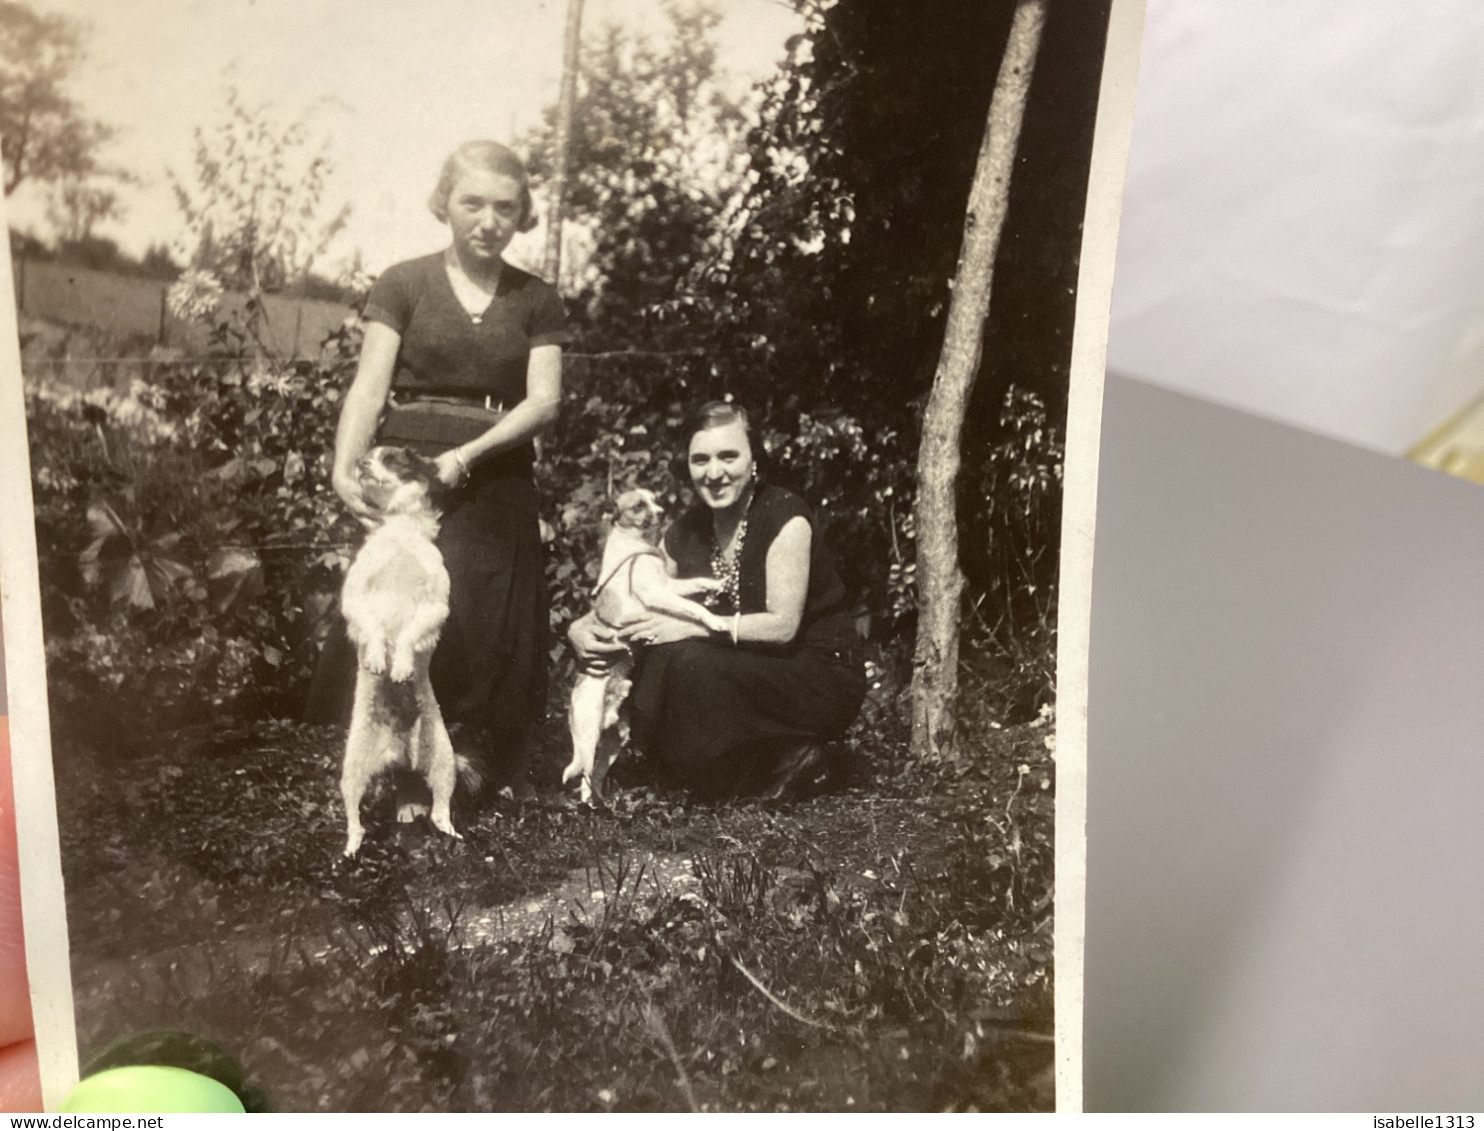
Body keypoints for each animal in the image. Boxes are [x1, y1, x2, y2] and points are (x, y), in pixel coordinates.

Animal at [339, 445, 463, 848]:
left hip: (444, 760)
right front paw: (380, 659)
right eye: (367, 454)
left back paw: (453, 836)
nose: (360, 462)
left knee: (441, 808)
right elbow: (376, 629)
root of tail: (399, 754)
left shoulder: (435, 607)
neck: (398, 533)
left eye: (391, 458)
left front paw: (402, 665)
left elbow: (408, 635)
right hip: (352, 768)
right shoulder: (354, 601)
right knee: (354, 819)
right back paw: (351, 849)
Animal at [560, 483, 724, 801]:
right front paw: (714, 621)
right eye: (638, 505)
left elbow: (694, 584)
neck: (636, 547)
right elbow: (694, 609)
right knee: (584, 776)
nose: (662, 512)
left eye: (655, 500)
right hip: (588, 738)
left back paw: (603, 803)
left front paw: (715, 584)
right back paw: (587, 807)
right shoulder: (656, 596)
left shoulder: (669, 586)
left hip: (615, 741)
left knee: (596, 776)